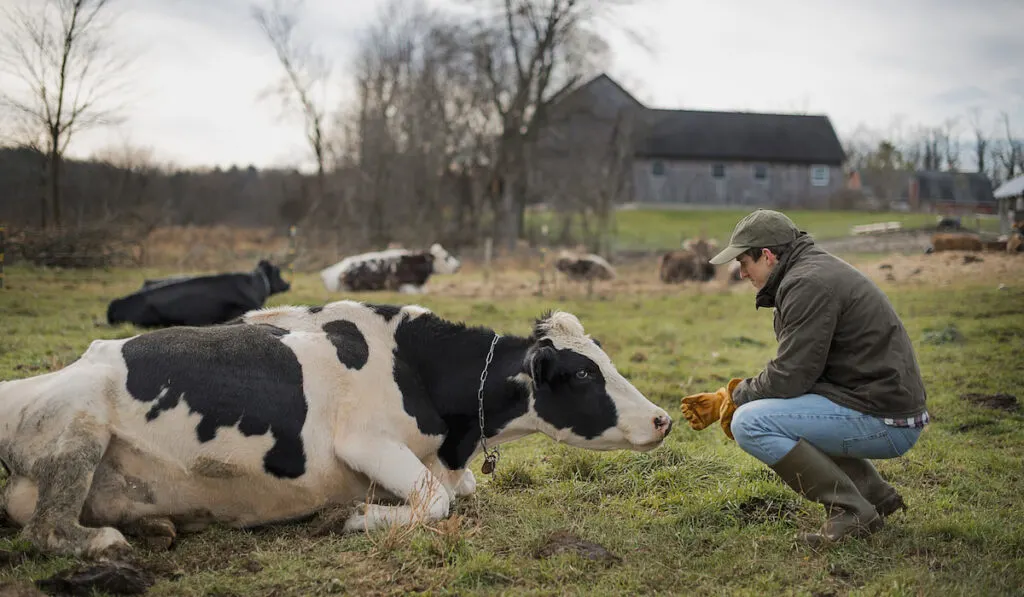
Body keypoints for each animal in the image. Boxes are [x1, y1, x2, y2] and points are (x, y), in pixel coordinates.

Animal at [0, 303, 671, 561]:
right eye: (582, 373)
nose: (663, 419)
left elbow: (461, 491)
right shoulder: (365, 441)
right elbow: (439, 501)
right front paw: (350, 518)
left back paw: (160, 525)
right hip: (77, 423)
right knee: (46, 528)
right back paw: (109, 542)